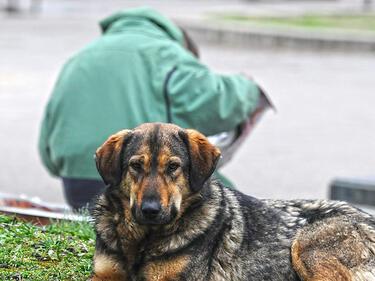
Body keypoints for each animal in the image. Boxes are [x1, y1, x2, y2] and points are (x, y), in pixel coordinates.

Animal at [89, 122, 375, 280]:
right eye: (136, 166)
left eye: (173, 167)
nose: (150, 210)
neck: (142, 240)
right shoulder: (104, 274)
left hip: (307, 247)